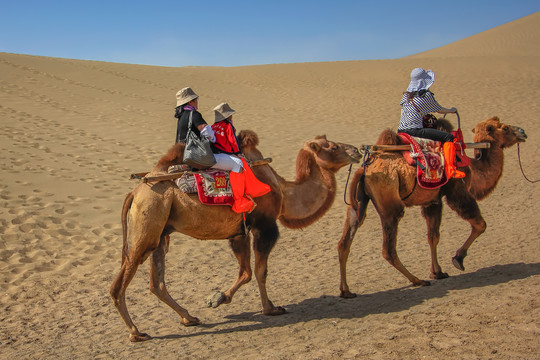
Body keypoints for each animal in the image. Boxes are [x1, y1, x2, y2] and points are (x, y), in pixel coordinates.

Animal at [108, 131, 362, 342]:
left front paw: (219, 298)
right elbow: (260, 271)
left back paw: (189, 318)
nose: (357, 151)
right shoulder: (264, 226)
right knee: (122, 281)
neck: (282, 191)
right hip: (148, 219)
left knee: (156, 283)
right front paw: (270, 309)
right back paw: (136, 333)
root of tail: (134, 192)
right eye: (333, 146)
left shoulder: (239, 232)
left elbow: (246, 272)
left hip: (161, 232)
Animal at [338, 116, 528, 296]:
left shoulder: (433, 200)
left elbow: (433, 236)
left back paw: (346, 291)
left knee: (344, 241)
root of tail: (363, 169)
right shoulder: (457, 192)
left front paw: (437, 272)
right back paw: (417, 281)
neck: (472, 167)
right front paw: (458, 259)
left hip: (357, 204)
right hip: (390, 204)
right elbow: (480, 225)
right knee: (388, 249)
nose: (522, 132)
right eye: (505, 128)